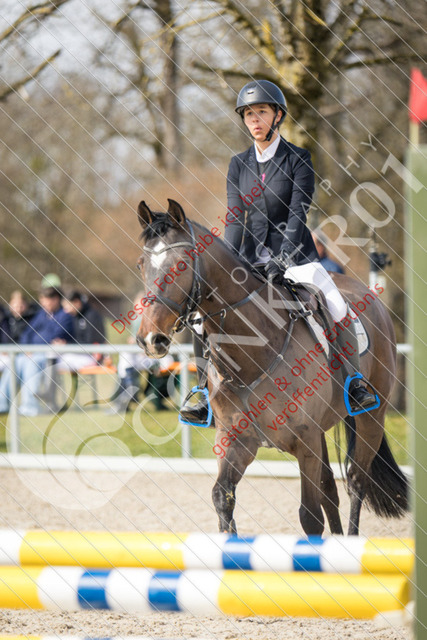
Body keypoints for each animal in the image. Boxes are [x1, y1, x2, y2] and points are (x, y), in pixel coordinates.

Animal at [135, 198, 408, 536]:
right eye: (141, 265)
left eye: (181, 264)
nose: (150, 339)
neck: (254, 352)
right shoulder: (237, 442)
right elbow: (221, 498)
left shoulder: (305, 442)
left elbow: (309, 516)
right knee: (330, 489)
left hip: (371, 417)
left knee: (356, 482)